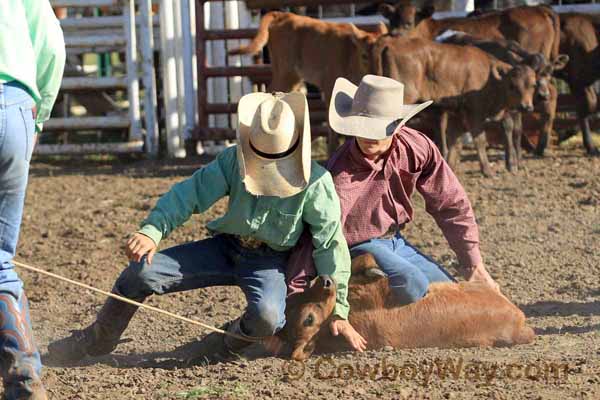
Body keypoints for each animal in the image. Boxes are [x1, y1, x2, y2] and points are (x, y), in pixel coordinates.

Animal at [372, 36, 536, 177]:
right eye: (512, 85)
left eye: (533, 85)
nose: (526, 107)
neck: (488, 75)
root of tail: (389, 43)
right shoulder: (475, 112)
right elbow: (480, 139)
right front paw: (487, 170)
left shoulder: (457, 114)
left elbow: (455, 142)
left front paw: (449, 167)